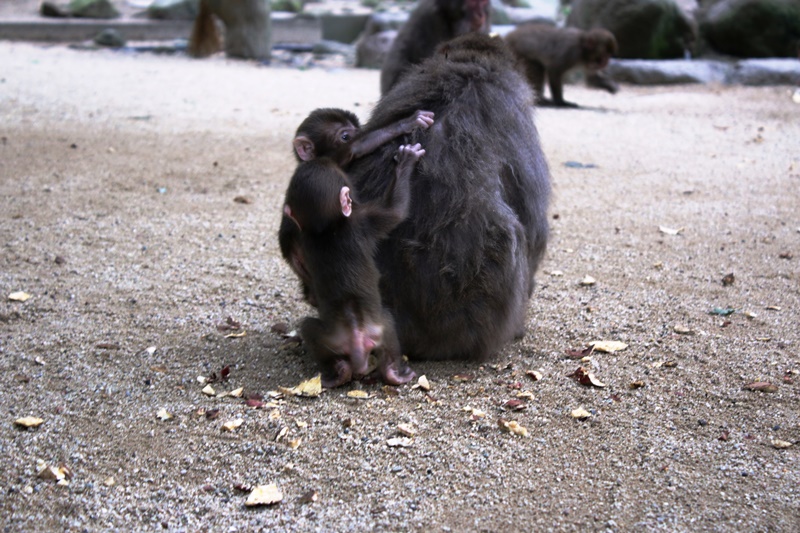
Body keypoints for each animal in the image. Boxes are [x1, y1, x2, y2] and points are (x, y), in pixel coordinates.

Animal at [280, 106, 434, 306]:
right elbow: (354, 148)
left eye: (358, 127)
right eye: (345, 136)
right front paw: (405, 123)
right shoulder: (330, 159)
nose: (361, 131)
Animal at [284, 143, 428, 386]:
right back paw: (393, 372)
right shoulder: (364, 221)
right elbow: (396, 211)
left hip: (330, 339)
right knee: (388, 325)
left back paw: (338, 372)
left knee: (310, 331)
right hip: (379, 328)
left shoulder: (305, 238)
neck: (327, 228)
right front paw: (406, 161)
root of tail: (355, 337)